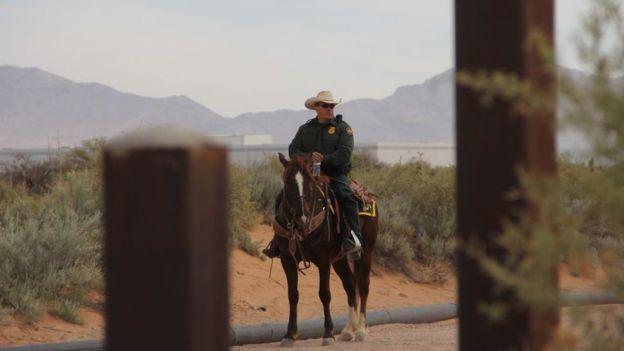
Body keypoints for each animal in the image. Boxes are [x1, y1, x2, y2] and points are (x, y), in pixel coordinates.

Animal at [274, 153, 380, 346]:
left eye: (310, 183)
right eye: (287, 182)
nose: (301, 218)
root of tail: (367, 195)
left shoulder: (323, 260)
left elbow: (324, 294)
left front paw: (328, 333)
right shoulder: (287, 259)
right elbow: (292, 294)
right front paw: (290, 334)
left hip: (366, 251)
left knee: (363, 285)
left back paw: (361, 329)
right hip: (340, 260)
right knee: (350, 285)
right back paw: (348, 330)